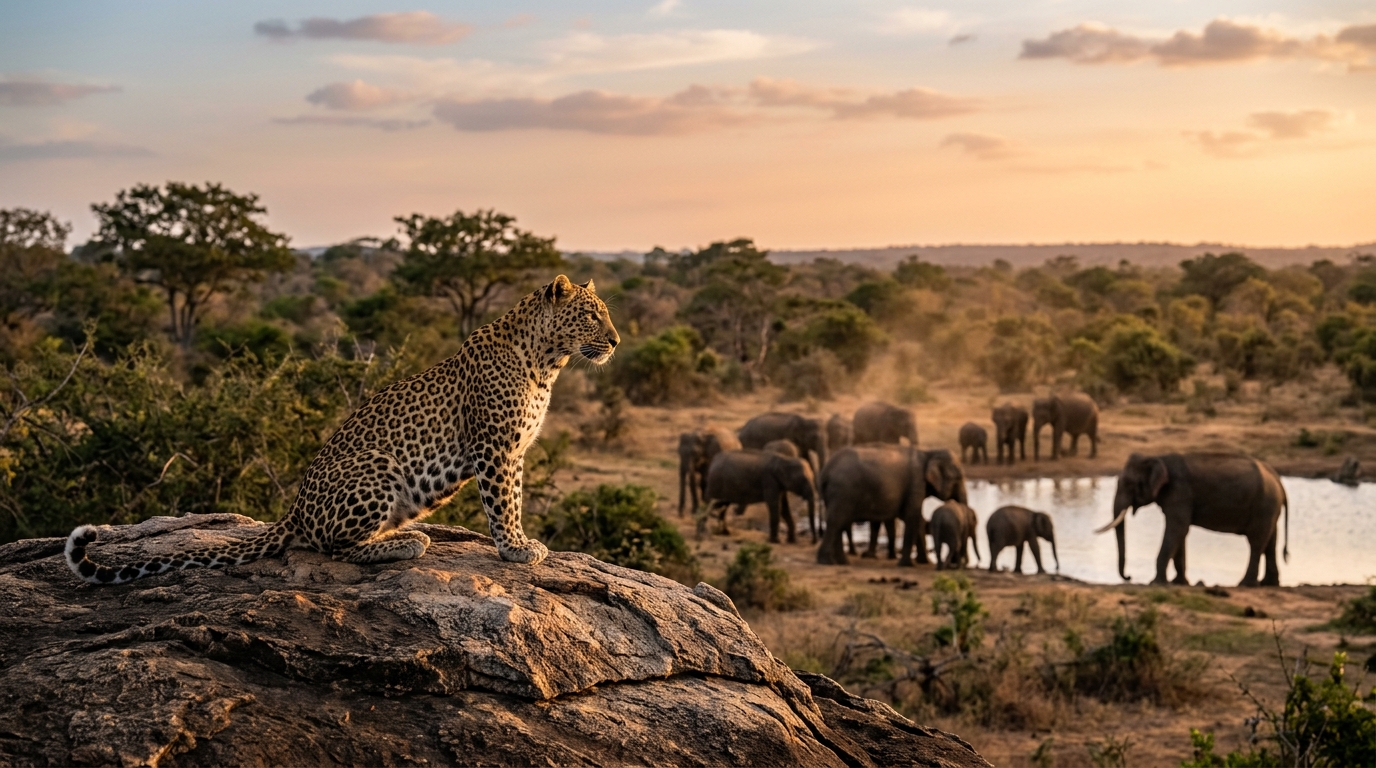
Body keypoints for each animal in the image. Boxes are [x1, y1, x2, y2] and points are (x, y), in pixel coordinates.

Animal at [67, 274, 619, 584]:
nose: (615, 341)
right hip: (376, 466)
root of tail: (293, 510)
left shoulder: (516, 451)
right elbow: (503, 503)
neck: (547, 362)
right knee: (333, 546)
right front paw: (515, 549)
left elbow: (516, 498)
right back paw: (406, 542)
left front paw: (522, 542)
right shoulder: (495, 447)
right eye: (592, 316)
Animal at [817, 445, 967, 566]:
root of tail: (826, 471)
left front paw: (923, 562)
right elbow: (912, 516)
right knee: (836, 521)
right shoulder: (916, 483)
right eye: (958, 478)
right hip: (843, 491)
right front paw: (907, 565)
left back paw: (841, 562)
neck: (928, 453)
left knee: (839, 523)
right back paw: (826, 562)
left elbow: (916, 518)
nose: (956, 562)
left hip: (837, 494)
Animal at [1099, 452, 1289, 587]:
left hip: (1264, 504)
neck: (1158, 458)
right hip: (1269, 508)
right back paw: (1269, 584)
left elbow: (1177, 529)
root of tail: (1279, 481)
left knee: (1256, 542)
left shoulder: (1179, 492)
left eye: (1129, 484)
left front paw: (1156, 583)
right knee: (1270, 541)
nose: (1129, 577)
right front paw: (1179, 583)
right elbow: (1180, 533)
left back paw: (1245, 585)